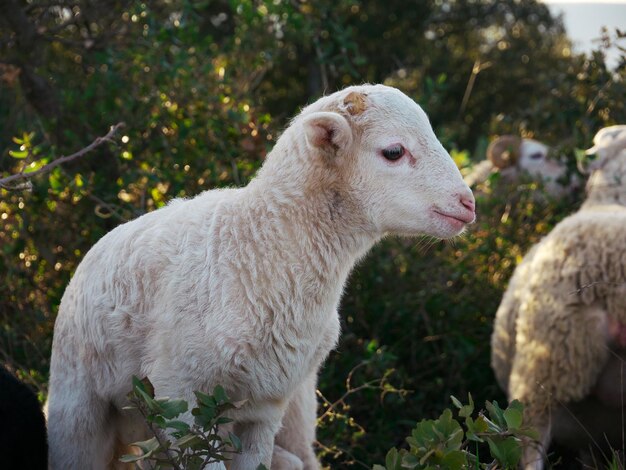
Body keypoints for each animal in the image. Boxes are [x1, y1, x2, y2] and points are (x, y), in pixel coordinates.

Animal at [47, 84, 472, 470]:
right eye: (393, 152)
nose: (468, 203)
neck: (261, 252)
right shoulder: (179, 397)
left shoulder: (265, 408)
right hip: (79, 405)